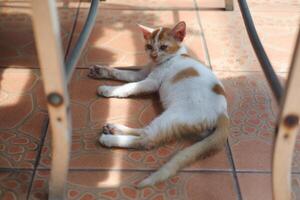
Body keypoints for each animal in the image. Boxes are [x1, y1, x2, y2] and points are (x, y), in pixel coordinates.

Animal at [88, 21, 229, 188]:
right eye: (149, 46)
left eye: (163, 47)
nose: (153, 55)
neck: (171, 58)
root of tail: (224, 114)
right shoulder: (141, 74)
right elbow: (122, 73)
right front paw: (101, 71)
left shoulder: (150, 82)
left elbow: (128, 87)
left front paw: (108, 89)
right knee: (145, 132)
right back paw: (114, 128)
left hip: (173, 116)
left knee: (147, 140)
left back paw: (109, 139)